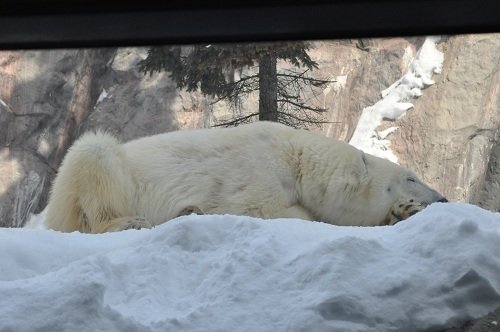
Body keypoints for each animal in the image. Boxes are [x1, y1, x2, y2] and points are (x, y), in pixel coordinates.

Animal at [46, 122, 446, 233]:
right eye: (411, 177)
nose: (442, 198)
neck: (296, 158)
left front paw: (403, 212)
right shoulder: (255, 171)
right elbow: (259, 207)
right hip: (93, 172)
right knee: (96, 154)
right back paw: (128, 222)